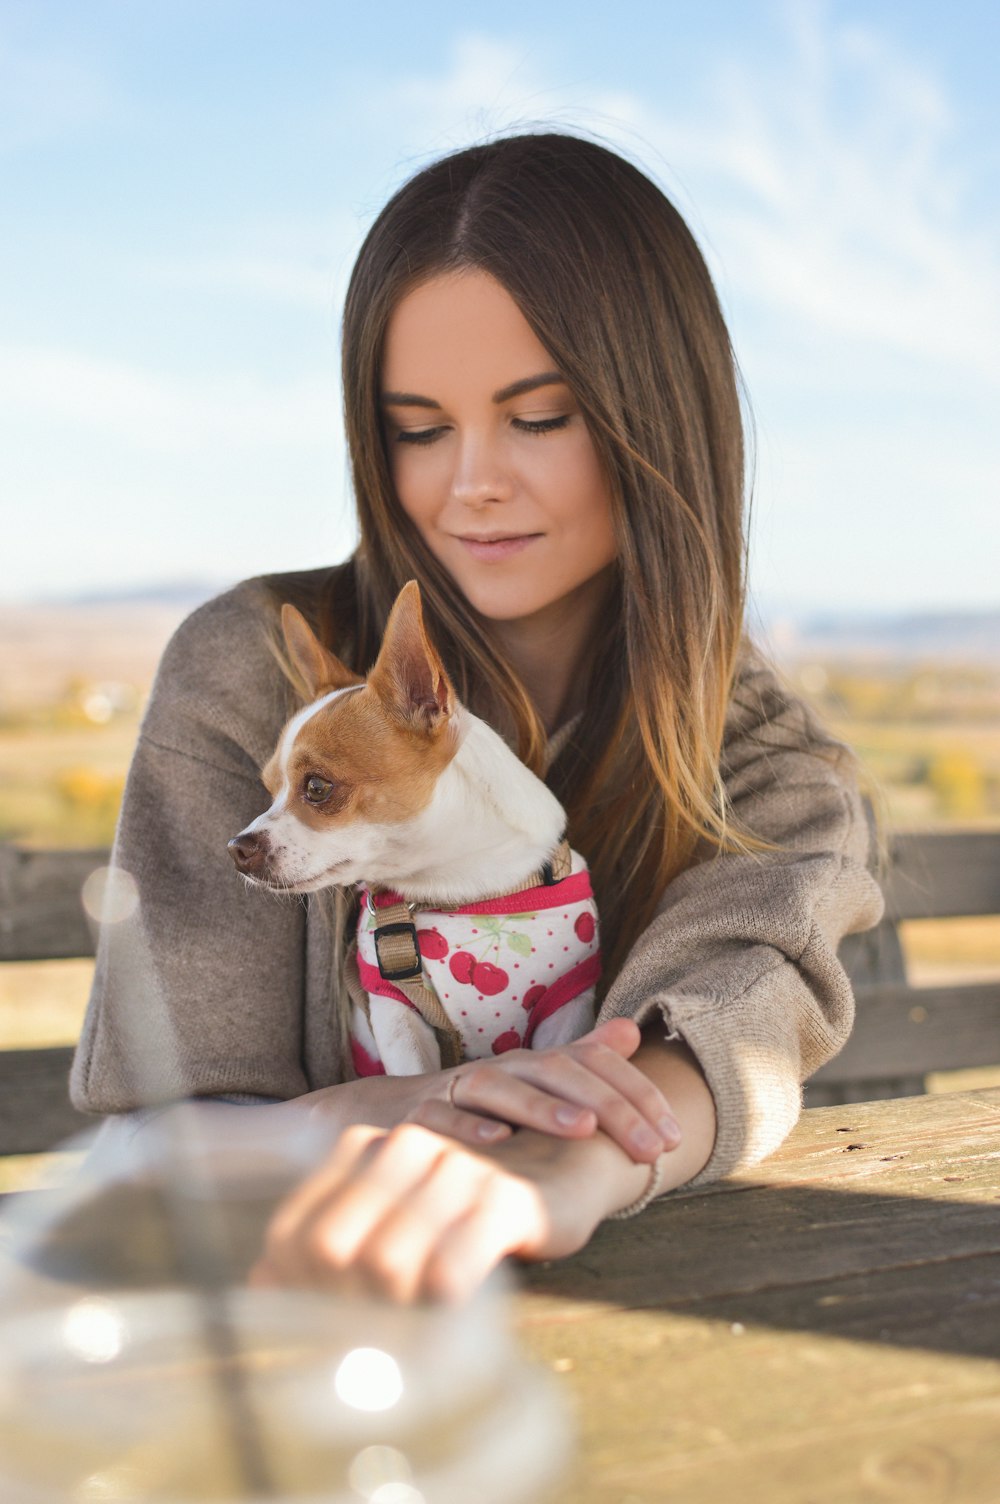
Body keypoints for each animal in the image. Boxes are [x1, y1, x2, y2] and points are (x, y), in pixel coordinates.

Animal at [230, 577, 595, 1082]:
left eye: (317, 787)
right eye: (269, 790)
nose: (237, 847)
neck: (459, 887)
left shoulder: (567, 1011)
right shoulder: (398, 1016)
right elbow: (414, 1077)